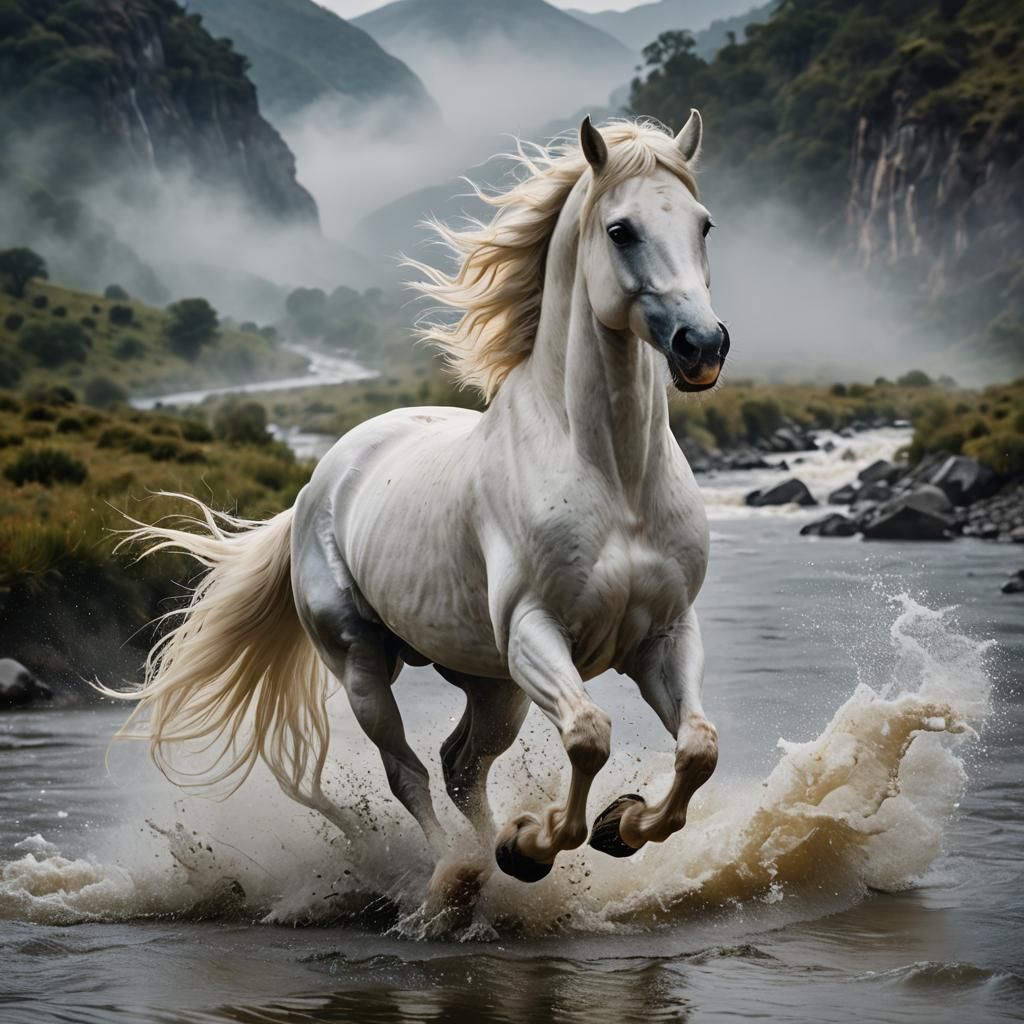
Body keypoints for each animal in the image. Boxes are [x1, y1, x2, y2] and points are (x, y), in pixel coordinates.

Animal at [105, 113, 729, 910]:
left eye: (703, 224)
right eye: (621, 230)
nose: (702, 346)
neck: (612, 476)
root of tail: (319, 482)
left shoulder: (665, 634)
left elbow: (699, 747)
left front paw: (619, 825)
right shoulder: (536, 631)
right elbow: (589, 734)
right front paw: (534, 843)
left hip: (491, 680)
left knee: (462, 764)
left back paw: (492, 858)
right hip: (367, 662)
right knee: (410, 772)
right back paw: (460, 872)